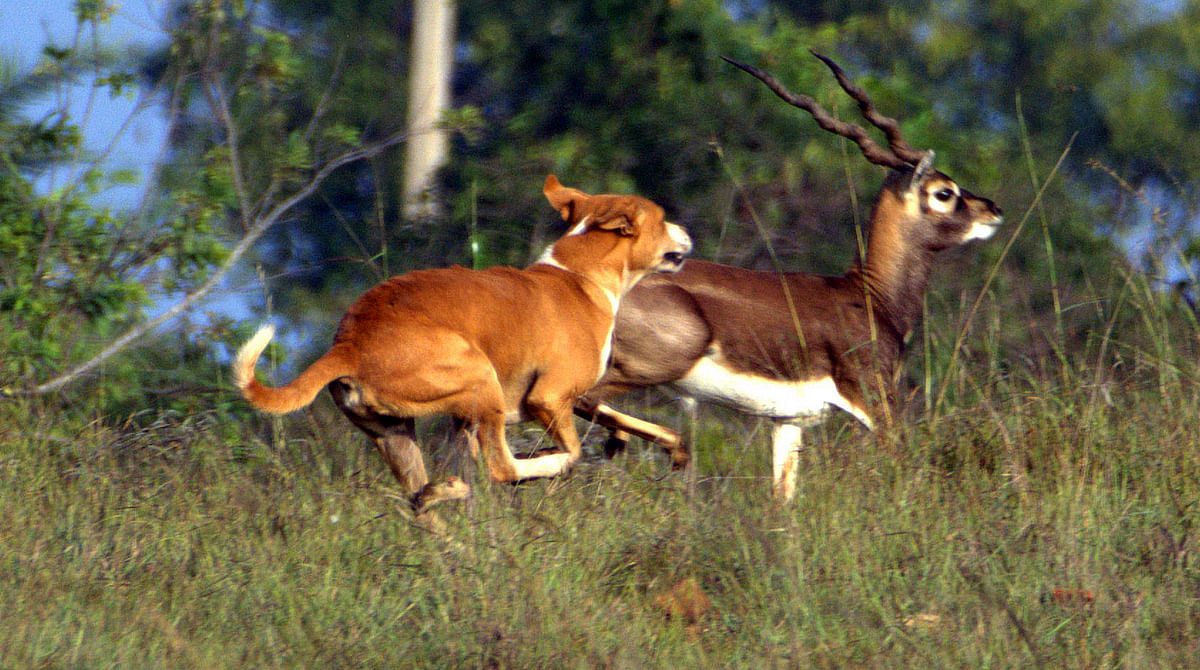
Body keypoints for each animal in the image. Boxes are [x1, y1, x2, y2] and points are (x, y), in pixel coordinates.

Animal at [231, 176, 696, 516]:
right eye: (662, 219)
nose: (686, 231)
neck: (579, 276)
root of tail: (349, 344)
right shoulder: (549, 398)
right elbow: (572, 449)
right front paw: (562, 456)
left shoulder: (564, 401)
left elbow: (627, 421)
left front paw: (660, 446)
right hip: (481, 379)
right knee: (503, 468)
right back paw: (537, 467)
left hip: (397, 436)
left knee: (422, 500)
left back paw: (445, 511)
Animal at [576, 53, 1008, 504]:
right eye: (944, 192)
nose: (992, 209)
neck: (870, 295)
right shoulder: (876, 400)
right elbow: (906, 464)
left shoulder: (787, 421)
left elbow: (783, 501)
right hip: (652, 365)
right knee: (585, 402)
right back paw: (662, 449)